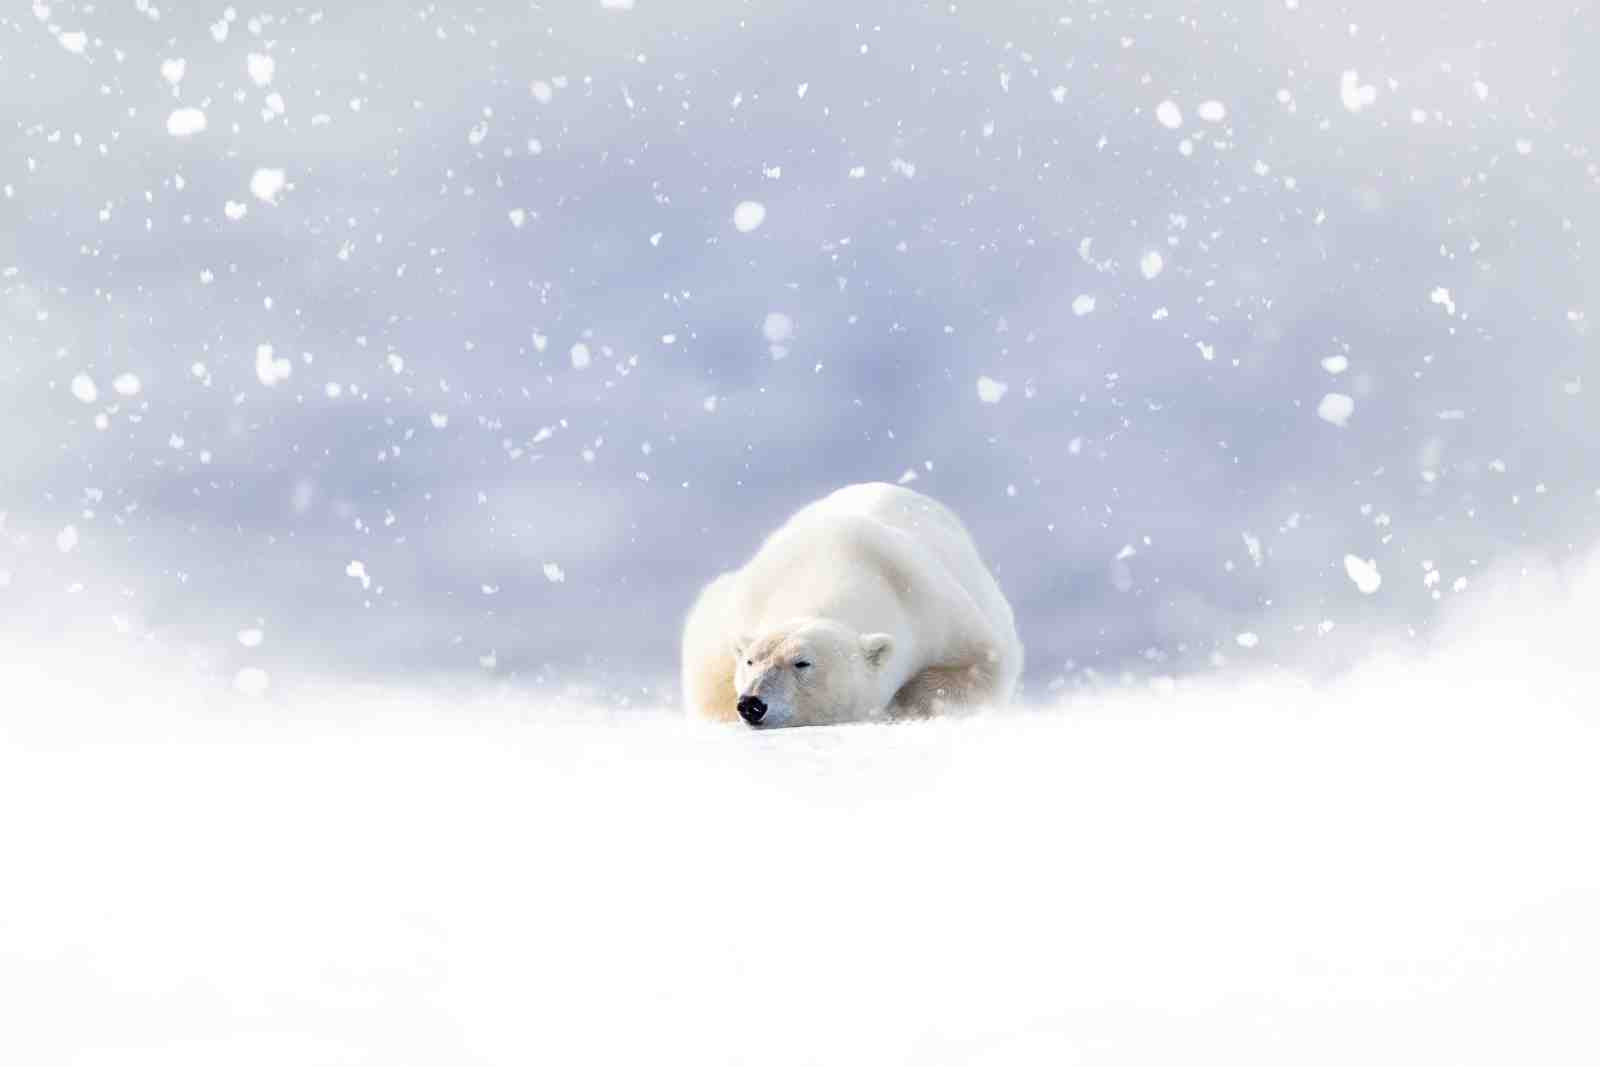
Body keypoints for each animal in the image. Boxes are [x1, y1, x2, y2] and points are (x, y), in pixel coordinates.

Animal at [680, 482, 1023, 727]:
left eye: (802, 662)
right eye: (750, 661)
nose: (751, 703)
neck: (838, 558)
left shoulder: (932, 604)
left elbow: (982, 662)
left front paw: (898, 706)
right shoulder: (744, 599)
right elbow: (709, 672)